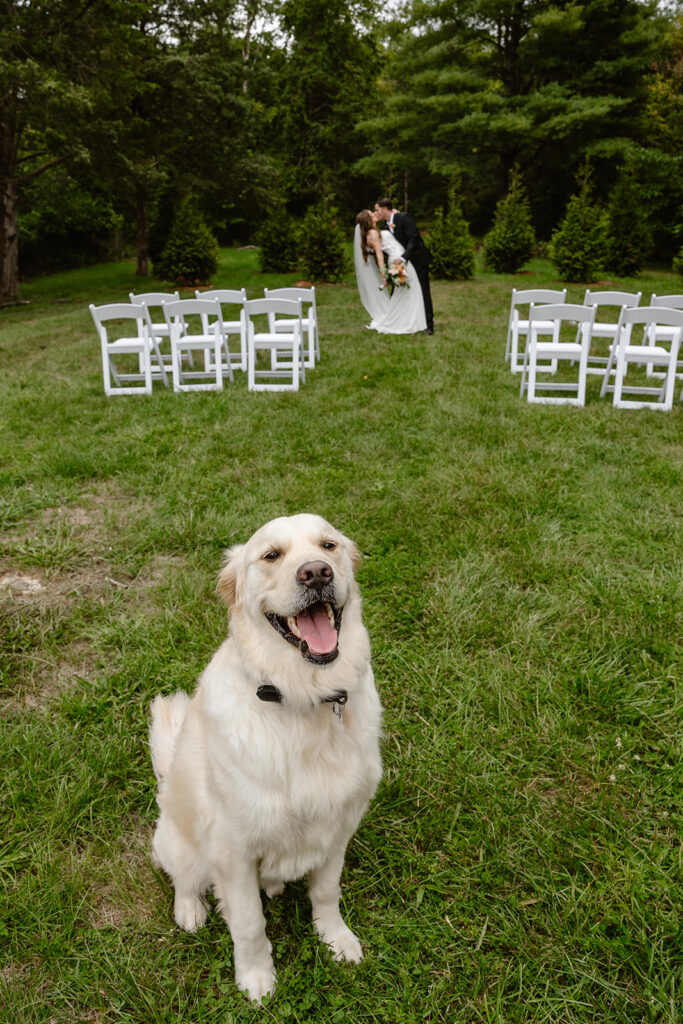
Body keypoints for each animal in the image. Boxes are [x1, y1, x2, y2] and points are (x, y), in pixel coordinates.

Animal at [150, 516, 385, 1003]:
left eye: (328, 546)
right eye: (271, 555)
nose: (316, 574)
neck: (303, 699)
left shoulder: (339, 827)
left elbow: (327, 893)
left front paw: (336, 940)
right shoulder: (233, 851)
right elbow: (248, 923)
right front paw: (256, 978)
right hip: (174, 839)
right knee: (182, 877)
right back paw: (190, 910)